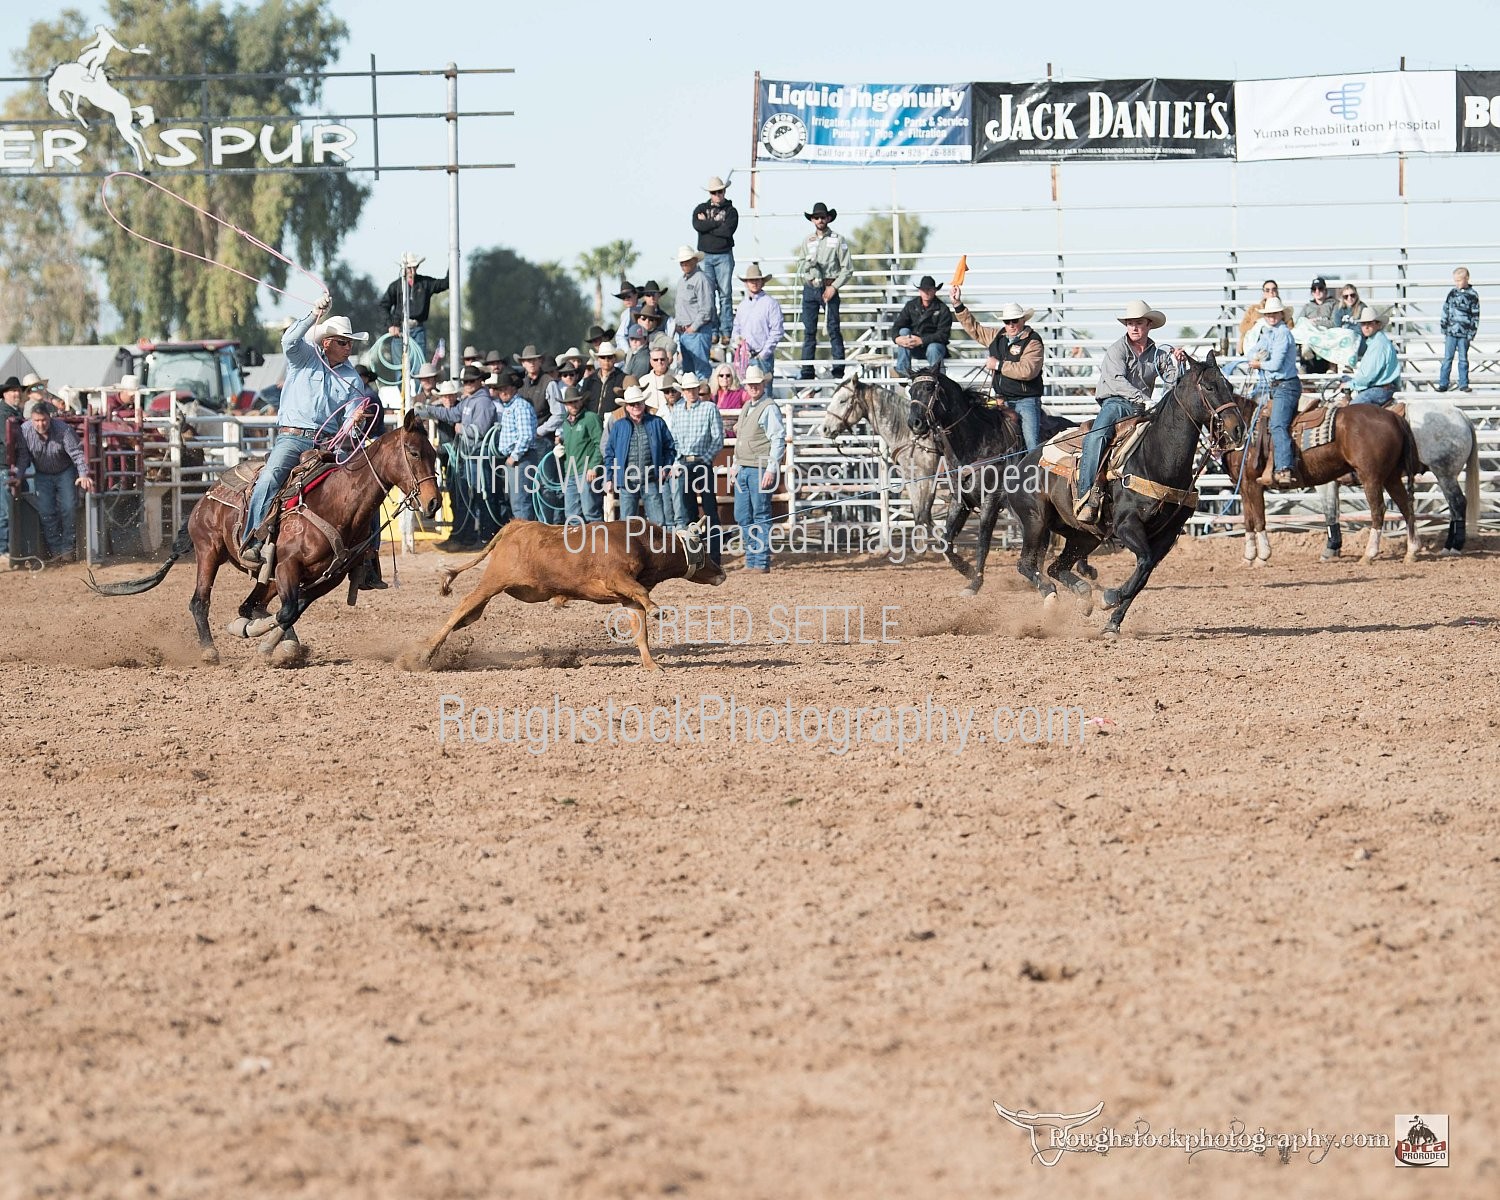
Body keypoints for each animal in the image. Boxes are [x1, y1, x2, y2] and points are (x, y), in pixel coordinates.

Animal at [88, 408, 441, 660]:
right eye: (413, 452)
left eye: (435, 454)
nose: (434, 502)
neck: (336, 503)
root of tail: (205, 496)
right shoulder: (287, 566)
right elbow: (286, 611)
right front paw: (262, 641)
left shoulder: (326, 578)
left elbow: (291, 611)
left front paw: (275, 645)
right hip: (209, 552)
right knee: (200, 601)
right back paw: (210, 650)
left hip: (263, 574)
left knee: (251, 605)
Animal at [399, 513, 726, 669]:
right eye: (703, 548)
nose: (721, 573)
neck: (643, 542)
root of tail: (516, 526)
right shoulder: (618, 579)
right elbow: (646, 600)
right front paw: (659, 611)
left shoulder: (628, 598)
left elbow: (640, 627)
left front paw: (651, 665)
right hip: (492, 582)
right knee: (462, 607)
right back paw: (424, 654)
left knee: (467, 616)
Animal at [906, 372, 1098, 597]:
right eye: (911, 390)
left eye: (929, 388)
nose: (914, 423)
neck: (976, 441)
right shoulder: (960, 501)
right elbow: (946, 542)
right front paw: (967, 570)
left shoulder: (991, 499)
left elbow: (983, 542)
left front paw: (975, 583)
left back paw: (1083, 568)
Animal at [942, 349, 1248, 636]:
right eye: (1208, 387)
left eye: (1228, 385)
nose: (1238, 429)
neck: (1157, 458)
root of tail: (1021, 463)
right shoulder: (1126, 526)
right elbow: (1143, 563)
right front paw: (1110, 597)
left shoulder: (1167, 536)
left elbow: (1144, 572)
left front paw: (1112, 621)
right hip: (1035, 521)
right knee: (1027, 564)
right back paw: (1052, 596)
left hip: (1083, 535)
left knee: (1056, 566)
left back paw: (1083, 595)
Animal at [1218, 393, 1416, 564]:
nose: (1236, 430)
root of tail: (1394, 417)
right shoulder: (1243, 486)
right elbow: (1248, 520)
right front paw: (1248, 557)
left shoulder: (1253, 484)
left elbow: (1259, 518)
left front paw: (1262, 557)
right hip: (1391, 477)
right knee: (1406, 506)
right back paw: (1412, 551)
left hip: (1371, 477)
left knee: (1378, 510)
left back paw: (1369, 554)